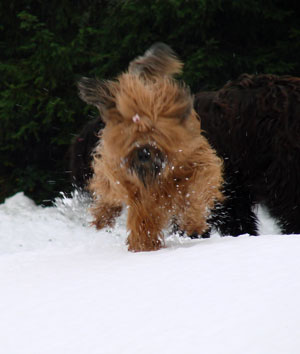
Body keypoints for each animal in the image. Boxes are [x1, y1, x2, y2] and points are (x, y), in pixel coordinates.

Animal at [77, 44, 223, 252]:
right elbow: (142, 217)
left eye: (156, 132)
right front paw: (143, 245)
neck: (160, 174)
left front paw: (192, 223)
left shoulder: (199, 164)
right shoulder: (139, 193)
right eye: (130, 135)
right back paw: (102, 217)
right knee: (107, 191)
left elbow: (195, 194)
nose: (144, 153)